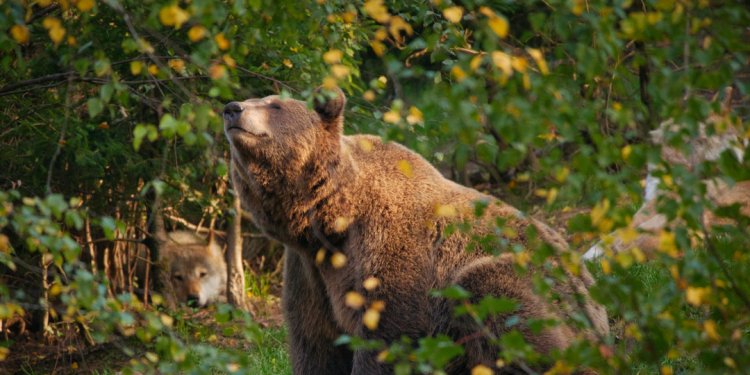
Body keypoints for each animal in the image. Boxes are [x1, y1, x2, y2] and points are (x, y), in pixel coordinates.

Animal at [225, 86, 612, 374]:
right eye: (258, 98)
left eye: (274, 105)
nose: (231, 108)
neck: (331, 219)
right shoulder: (310, 272)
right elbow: (315, 342)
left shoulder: (391, 253)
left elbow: (388, 336)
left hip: (536, 284)